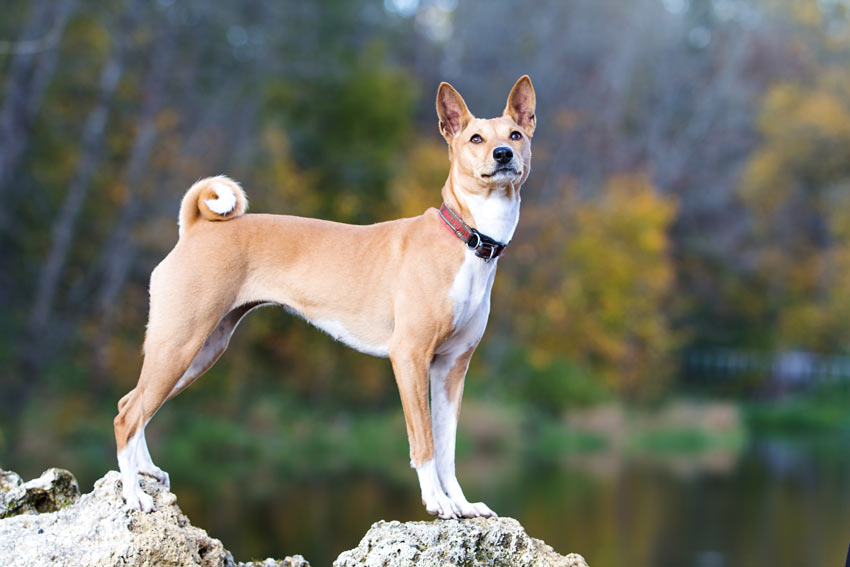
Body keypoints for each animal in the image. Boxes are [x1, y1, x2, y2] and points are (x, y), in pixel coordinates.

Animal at [114, 74, 536, 520]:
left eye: (515, 134)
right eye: (475, 138)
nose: (504, 154)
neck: (468, 240)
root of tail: (194, 228)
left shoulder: (451, 368)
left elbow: (448, 450)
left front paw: (462, 502)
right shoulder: (410, 356)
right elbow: (424, 442)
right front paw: (437, 502)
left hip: (199, 350)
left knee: (133, 403)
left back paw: (146, 472)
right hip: (180, 343)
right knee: (128, 417)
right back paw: (134, 495)